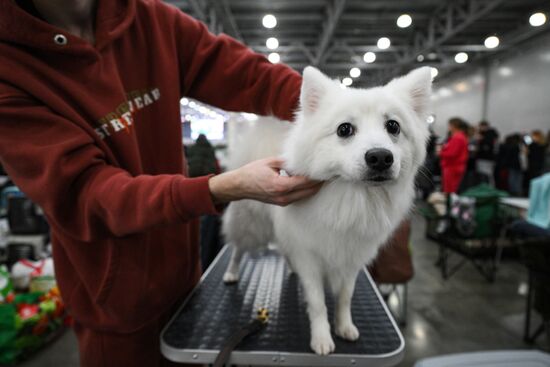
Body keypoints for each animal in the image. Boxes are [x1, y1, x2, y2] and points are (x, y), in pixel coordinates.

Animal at [222, 67, 434, 356]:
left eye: (393, 126)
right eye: (344, 129)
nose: (380, 157)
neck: (353, 198)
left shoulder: (351, 259)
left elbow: (345, 297)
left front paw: (344, 326)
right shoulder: (310, 256)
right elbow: (318, 303)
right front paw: (322, 338)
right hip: (250, 224)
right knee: (238, 248)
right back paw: (232, 272)